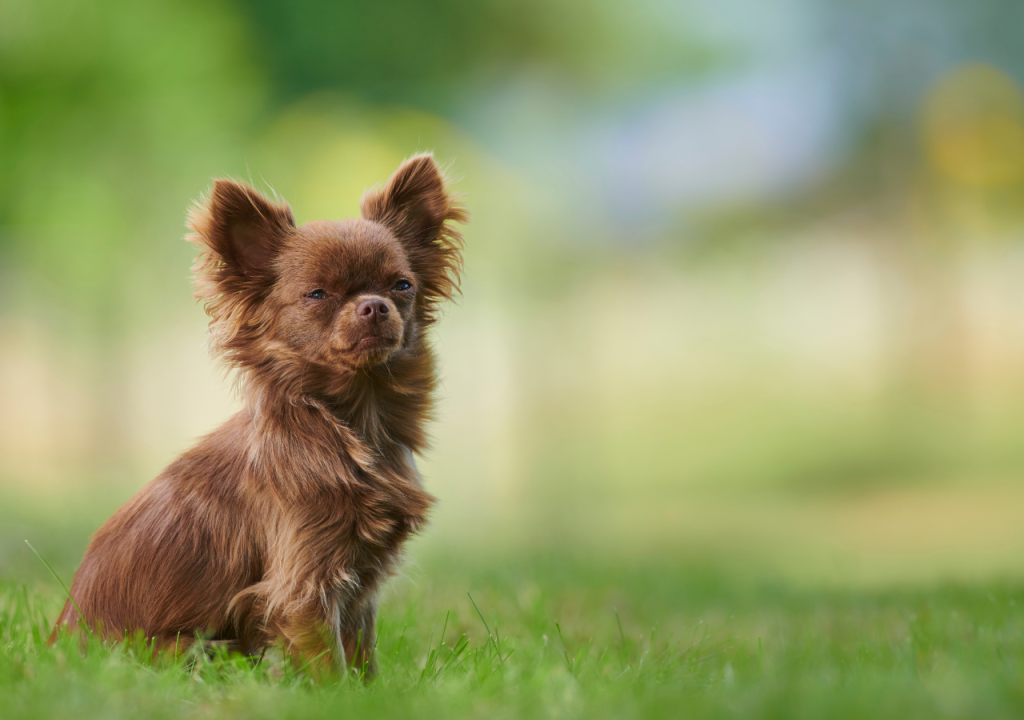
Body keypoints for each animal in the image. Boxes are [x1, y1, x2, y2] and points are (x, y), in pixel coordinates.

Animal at [48, 153, 464, 675]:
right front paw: (339, 691)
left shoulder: (357, 590)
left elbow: (363, 659)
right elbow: (332, 668)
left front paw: (374, 690)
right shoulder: (303, 588)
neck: (350, 422)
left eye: (402, 286)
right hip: (196, 648)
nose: (375, 306)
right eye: (317, 294)